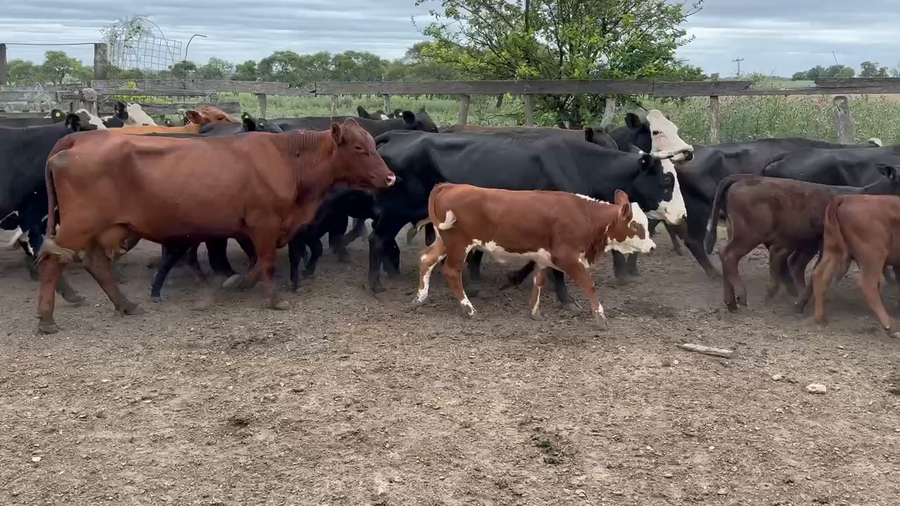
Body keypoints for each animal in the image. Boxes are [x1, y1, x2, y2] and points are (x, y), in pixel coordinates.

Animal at [35, 118, 397, 334]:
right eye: (359, 148)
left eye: (373, 144)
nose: (391, 177)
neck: (287, 159)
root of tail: (77, 139)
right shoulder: (264, 223)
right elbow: (266, 262)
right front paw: (273, 299)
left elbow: (256, 263)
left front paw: (235, 283)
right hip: (78, 225)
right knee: (53, 262)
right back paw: (47, 319)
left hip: (101, 229)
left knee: (97, 264)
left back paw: (126, 305)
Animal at [369, 129, 688, 308]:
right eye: (666, 181)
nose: (682, 216)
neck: (579, 164)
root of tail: (399, 136)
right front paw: (566, 300)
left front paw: (512, 279)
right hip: (397, 210)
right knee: (376, 238)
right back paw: (376, 284)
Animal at [413, 184, 654, 326]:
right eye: (636, 224)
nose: (652, 247)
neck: (584, 216)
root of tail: (451, 185)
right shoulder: (567, 257)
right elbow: (588, 284)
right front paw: (600, 317)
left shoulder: (543, 258)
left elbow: (539, 281)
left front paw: (535, 311)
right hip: (459, 244)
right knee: (452, 273)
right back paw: (468, 308)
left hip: (444, 241)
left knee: (426, 259)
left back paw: (420, 298)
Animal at [704, 169, 900, 311]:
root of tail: (743, 178)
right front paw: (801, 304)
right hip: (749, 234)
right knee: (728, 254)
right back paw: (741, 295)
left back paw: (731, 301)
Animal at [800, 195, 900, 339]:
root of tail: (847, 198)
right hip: (873, 255)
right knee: (868, 285)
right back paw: (891, 327)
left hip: (833, 250)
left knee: (820, 276)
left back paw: (820, 319)